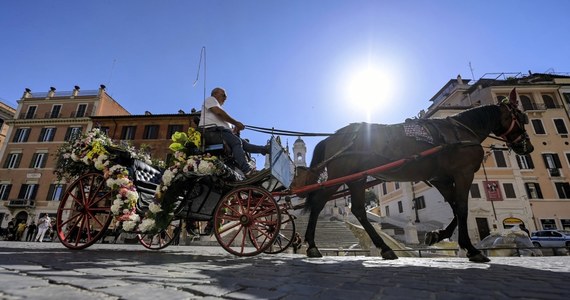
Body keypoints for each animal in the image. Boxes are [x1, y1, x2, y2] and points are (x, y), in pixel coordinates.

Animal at [292, 89, 532, 262]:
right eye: (521, 117)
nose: (527, 147)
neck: (462, 131)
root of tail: (333, 136)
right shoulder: (462, 173)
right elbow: (463, 209)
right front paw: (472, 249)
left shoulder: (442, 178)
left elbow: (456, 208)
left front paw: (437, 235)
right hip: (342, 174)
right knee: (319, 202)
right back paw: (312, 246)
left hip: (356, 178)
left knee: (357, 210)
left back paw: (385, 248)